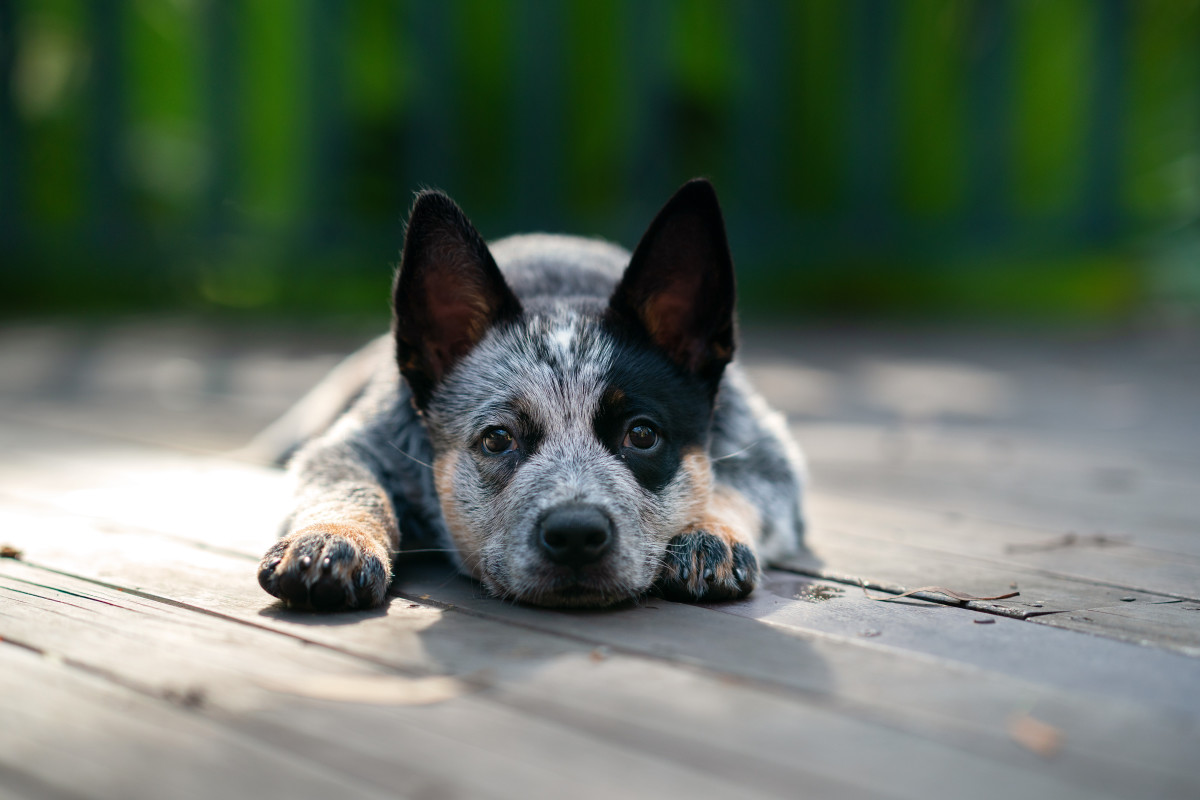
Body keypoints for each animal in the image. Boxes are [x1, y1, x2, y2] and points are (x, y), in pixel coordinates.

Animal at [254, 178, 806, 609]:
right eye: (497, 439)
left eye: (643, 434)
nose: (577, 533)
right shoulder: (360, 442)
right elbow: (349, 482)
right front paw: (332, 539)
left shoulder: (767, 451)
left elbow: (740, 486)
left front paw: (711, 536)